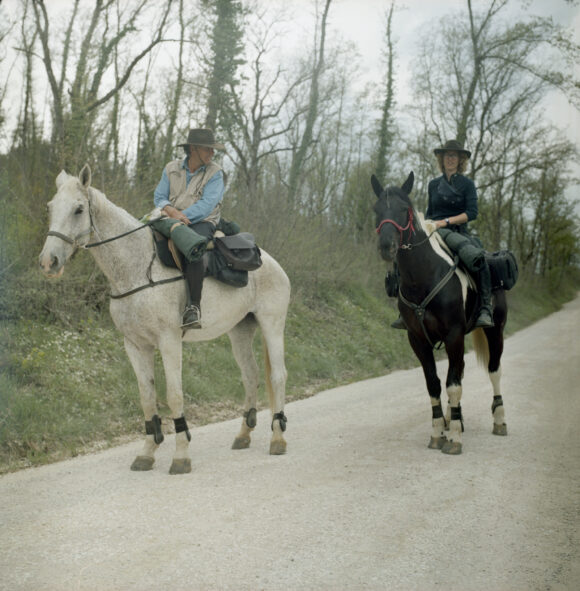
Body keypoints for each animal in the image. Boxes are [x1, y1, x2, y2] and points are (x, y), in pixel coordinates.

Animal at [38, 164, 290, 474]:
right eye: (50, 207)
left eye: (78, 209)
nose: (48, 262)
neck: (136, 268)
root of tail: (269, 261)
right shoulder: (135, 346)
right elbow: (147, 397)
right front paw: (147, 453)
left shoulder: (169, 342)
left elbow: (174, 395)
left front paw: (181, 456)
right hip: (240, 331)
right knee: (251, 375)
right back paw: (243, 435)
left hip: (272, 325)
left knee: (277, 376)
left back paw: (278, 439)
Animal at [374, 173, 506, 456]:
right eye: (376, 209)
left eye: (404, 209)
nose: (386, 247)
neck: (423, 276)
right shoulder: (417, 340)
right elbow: (435, 384)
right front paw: (438, 431)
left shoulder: (453, 334)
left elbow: (453, 385)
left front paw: (454, 438)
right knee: (460, 372)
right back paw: (454, 417)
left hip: (495, 331)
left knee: (494, 371)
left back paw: (499, 420)